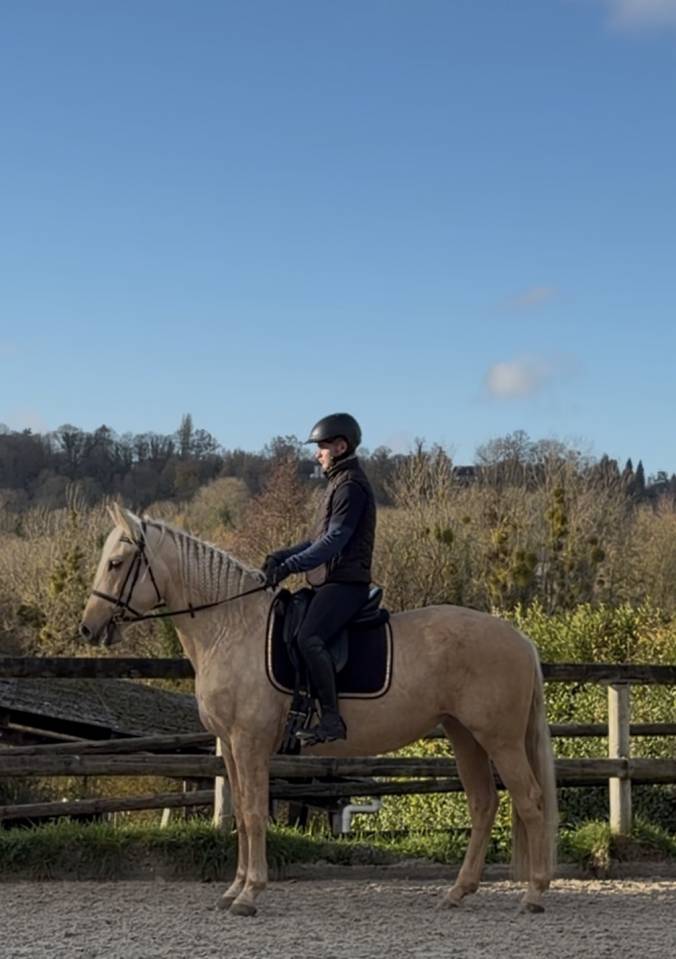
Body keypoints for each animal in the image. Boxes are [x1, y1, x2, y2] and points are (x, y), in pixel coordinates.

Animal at [79, 504, 558, 916]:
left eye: (117, 563)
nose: (88, 628)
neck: (231, 627)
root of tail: (521, 639)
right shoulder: (231, 747)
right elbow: (242, 817)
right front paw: (233, 889)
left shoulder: (250, 743)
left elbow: (254, 813)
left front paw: (249, 894)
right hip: (464, 735)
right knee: (484, 804)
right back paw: (458, 891)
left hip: (500, 739)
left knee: (530, 801)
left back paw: (534, 894)